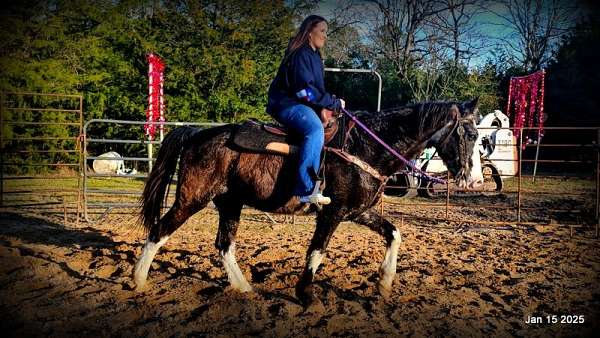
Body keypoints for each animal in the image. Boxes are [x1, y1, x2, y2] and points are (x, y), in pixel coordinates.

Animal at [134, 98, 480, 306]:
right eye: (470, 135)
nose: (474, 179)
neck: (365, 147)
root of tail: (195, 134)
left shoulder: (358, 211)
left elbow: (394, 233)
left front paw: (383, 284)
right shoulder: (332, 213)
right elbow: (317, 250)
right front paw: (306, 294)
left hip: (230, 203)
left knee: (224, 246)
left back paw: (244, 288)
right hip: (191, 199)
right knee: (159, 232)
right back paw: (138, 281)